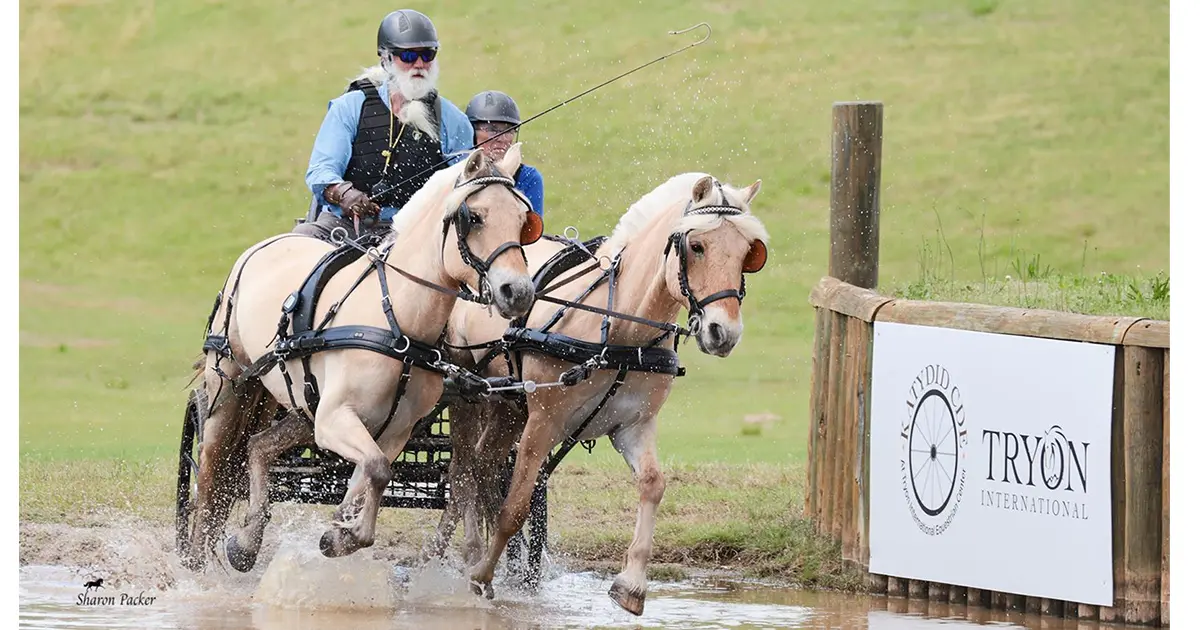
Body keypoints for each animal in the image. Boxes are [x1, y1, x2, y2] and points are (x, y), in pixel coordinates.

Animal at [182, 144, 543, 572]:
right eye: (475, 217)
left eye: (524, 221)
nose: (518, 292)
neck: (398, 322)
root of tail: (265, 246)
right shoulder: (337, 418)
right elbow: (377, 470)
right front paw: (345, 533)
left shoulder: (393, 429)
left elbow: (367, 476)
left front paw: (340, 532)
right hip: (232, 387)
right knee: (209, 471)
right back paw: (194, 557)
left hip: (302, 406)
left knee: (258, 446)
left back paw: (247, 541)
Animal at [428, 173, 769, 615]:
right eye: (696, 246)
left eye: (749, 253)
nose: (723, 332)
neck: (619, 331)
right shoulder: (543, 423)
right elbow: (515, 506)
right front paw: (482, 576)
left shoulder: (634, 425)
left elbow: (653, 485)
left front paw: (632, 584)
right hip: (468, 394)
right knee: (464, 472)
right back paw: (460, 553)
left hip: (507, 406)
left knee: (483, 465)